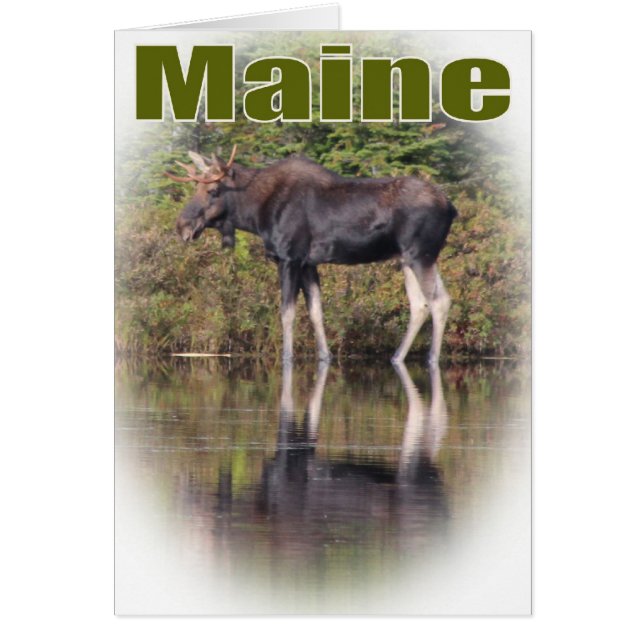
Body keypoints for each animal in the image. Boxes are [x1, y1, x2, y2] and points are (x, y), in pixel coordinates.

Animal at [166, 145, 457, 365]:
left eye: (212, 191)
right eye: (195, 189)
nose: (181, 226)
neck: (255, 214)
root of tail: (452, 207)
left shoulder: (288, 258)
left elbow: (287, 313)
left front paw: (286, 357)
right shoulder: (308, 263)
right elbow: (316, 310)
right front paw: (325, 356)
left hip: (421, 254)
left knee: (439, 300)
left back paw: (431, 358)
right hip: (408, 258)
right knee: (420, 304)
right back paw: (397, 357)